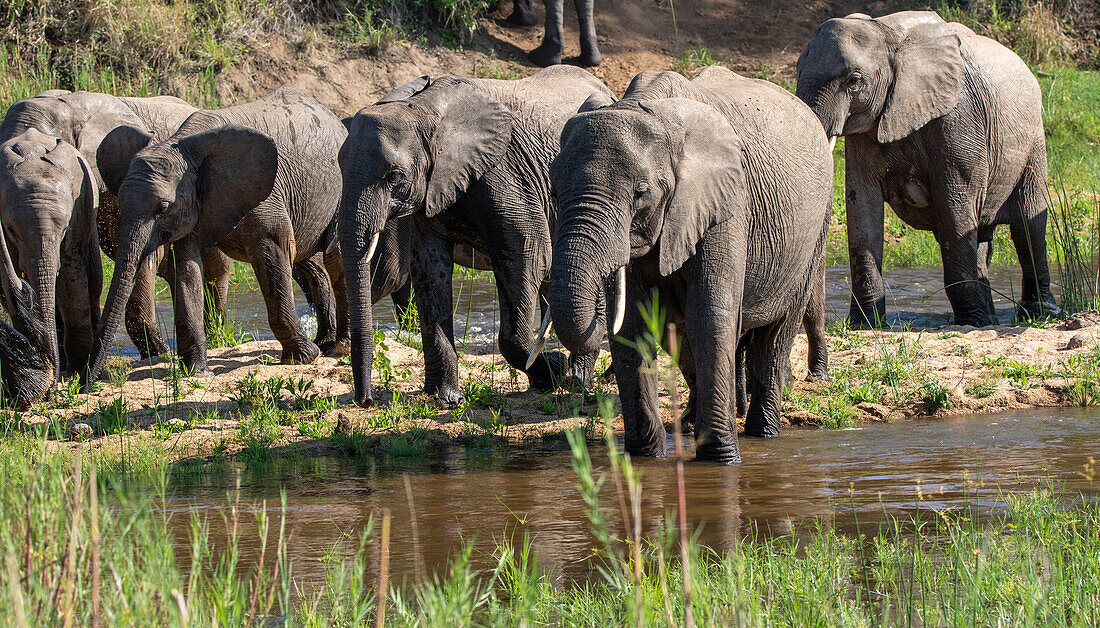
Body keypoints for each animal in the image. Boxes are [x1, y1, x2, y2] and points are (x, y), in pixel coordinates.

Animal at [85, 85, 347, 384]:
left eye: (162, 207)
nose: (86, 382)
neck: (182, 145)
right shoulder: (193, 204)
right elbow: (187, 268)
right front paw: (196, 371)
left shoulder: (265, 196)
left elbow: (273, 251)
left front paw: (302, 357)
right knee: (310, 263)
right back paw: (326, 344)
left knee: (335, 257)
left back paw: (338, 347)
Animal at [338, 65, 616, 406]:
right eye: (339, 166)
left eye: (394, 176)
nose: (365, 401)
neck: (424, 110)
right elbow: (429, 269)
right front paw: (446, 398)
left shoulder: (507, 175)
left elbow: (528, 255)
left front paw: (553, 372)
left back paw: (579, 379)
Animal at [545, 68, 827, 464]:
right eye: (553, 190)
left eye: (641, 192)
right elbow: (633, 325)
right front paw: (645, 458)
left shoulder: (726, 202)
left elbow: (709, 316)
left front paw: (721, 460)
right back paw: (696, 422)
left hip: (814, 234)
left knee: (776, 336)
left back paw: (762, 434)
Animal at [800, 11, 1056, 329]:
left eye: (854, 80)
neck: (886, 31)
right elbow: (863, 208)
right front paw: (866, 325)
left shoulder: (958, 118)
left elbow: (955, 208)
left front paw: (969, 323)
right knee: (982, 237)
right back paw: (991, 320)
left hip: (1034, 140)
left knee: (1027, 226)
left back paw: (1038, 314)